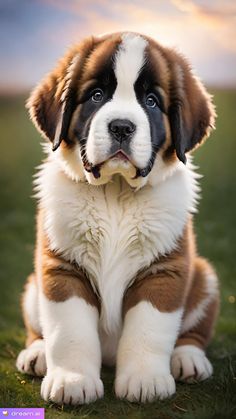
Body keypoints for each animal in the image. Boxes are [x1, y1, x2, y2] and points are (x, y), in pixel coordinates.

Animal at [16, 31, 219, 406]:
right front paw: (72, 381)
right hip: (33, 287)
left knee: (194, 332)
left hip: (204, 276)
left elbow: (150, 328)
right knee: (39, 329)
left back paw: (188, 359)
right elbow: (68, 332)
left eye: (151, 101)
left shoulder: (164, 271)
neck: (116, 193)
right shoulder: (60, 270)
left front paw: (145, 381)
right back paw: (37, 354)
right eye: (97, 95)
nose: (122, 127)